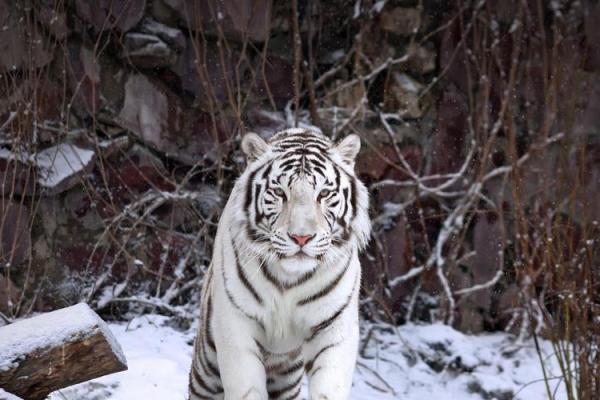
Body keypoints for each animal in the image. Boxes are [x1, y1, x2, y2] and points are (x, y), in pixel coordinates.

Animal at [191, 129, 370, 400]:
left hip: (287, 374)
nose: (301, 237)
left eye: (324, 194)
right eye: (279, 193)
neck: (290, 280)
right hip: (207, 367)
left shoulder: (334, 328)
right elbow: (247, 388)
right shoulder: (236, 325)